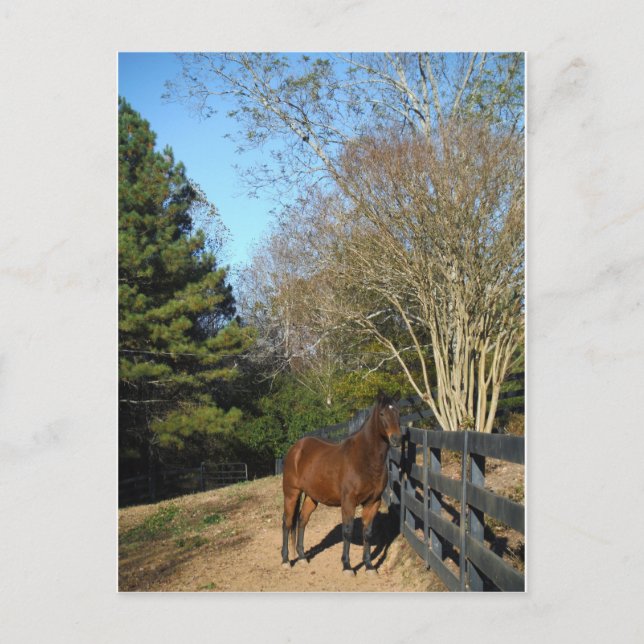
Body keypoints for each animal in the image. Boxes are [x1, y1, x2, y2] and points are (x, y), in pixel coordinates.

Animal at [281, 391, 402, 575]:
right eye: (382, 414)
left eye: (398, 412)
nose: (396, 438)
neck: (364, 459)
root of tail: (296, 449)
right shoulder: (349, 502)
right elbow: (348, 531)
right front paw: (347, 566)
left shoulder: (373, 502)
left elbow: (367, 532)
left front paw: (369, 566)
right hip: (291, 493)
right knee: (287, 522)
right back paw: (286, 560)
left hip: (311, 497)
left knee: (302, 521)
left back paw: (301, 558)